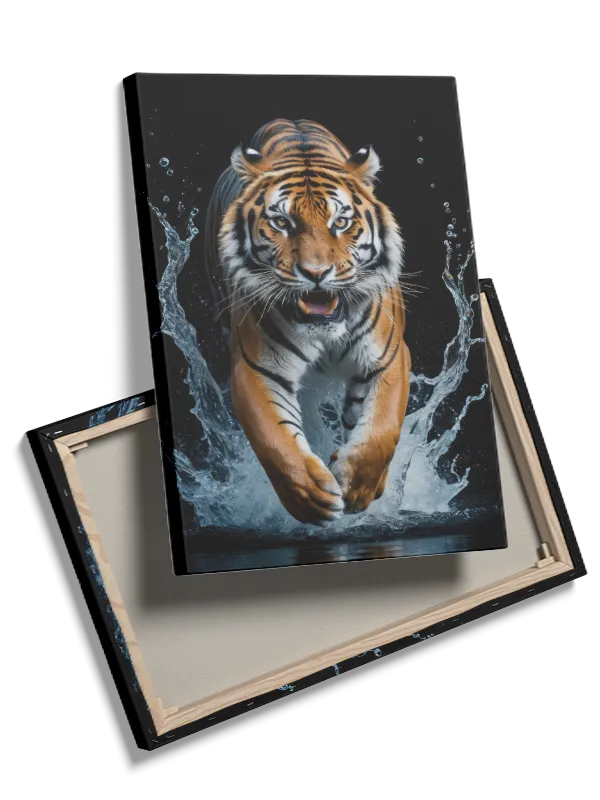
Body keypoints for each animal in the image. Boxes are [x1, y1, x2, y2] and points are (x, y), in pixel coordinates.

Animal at [204, 118, 411, 526]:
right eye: (281, 222)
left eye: (341, 222)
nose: (316, 273)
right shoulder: (255, 367)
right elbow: (274, 440)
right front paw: (312, 496)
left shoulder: (389, 356)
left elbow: (382, 429)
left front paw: (359, 486)